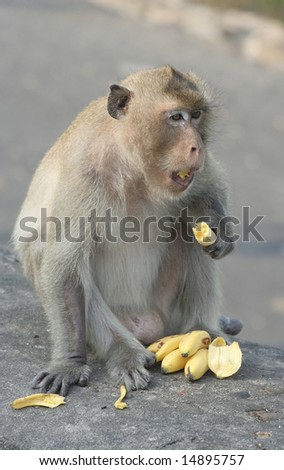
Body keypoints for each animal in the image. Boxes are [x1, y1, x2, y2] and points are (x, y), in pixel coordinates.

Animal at [12, 64, 241, 394]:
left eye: (197, 115)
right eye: (176, 118)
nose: (196, 146)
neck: (132, 165)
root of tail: (149, 324)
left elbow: (208, 183)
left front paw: (220, 229)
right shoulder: (83, 174)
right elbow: (64, 267)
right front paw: (69, 363)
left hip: (166, 306)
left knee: (187, 225)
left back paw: (200, 329)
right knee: (43, 249)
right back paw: (125, 353)